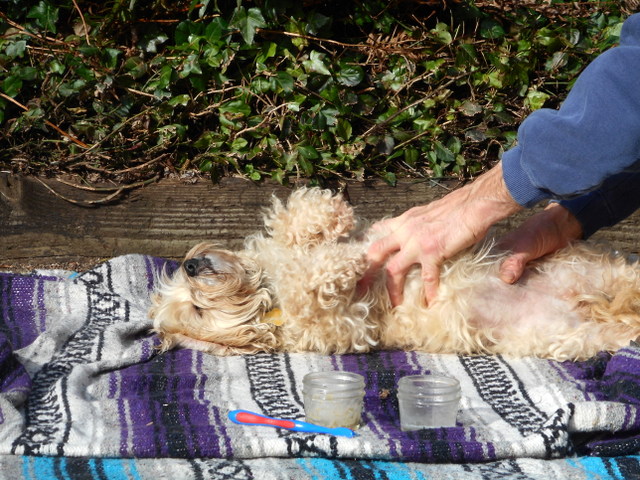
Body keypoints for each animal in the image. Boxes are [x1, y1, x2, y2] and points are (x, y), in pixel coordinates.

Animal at [148, 188, 640, 360]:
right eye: (196, 311)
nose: (191, 263)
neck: (266, 289)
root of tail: (595, 307)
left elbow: (292, 218)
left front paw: (330, 218)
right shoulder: (349, 325)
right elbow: (310, 292)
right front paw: (341, 265)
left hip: (585, 270)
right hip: (572, 333)